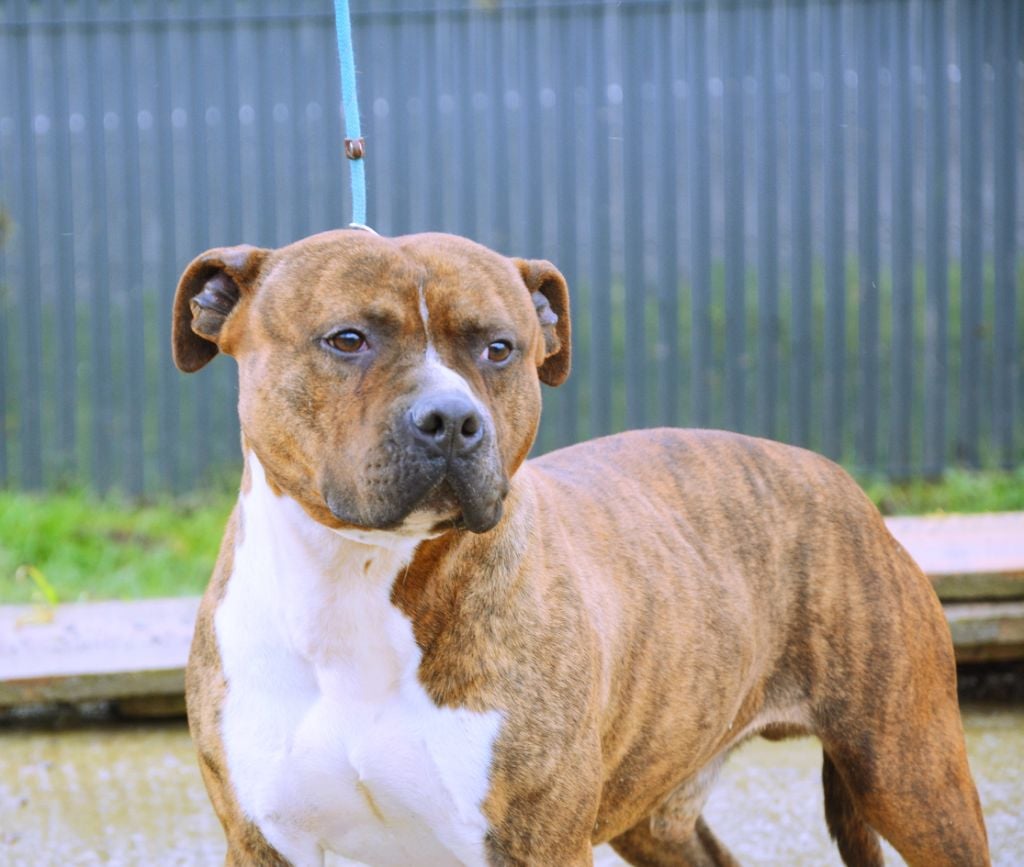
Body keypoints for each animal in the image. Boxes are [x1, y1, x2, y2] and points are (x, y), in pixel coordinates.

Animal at [173, 229, 989, 866]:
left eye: (500, 348)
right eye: (347, 339)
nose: (451, 420)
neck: (355, 581)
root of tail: (837, 477)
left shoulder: (539, 841)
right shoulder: (261, 840)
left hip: (911, 771)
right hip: (660, 808)